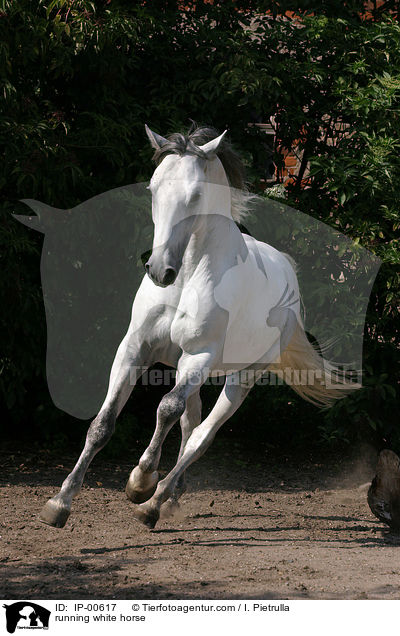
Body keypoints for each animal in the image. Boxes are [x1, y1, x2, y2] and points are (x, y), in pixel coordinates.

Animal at [39, 126, 352, 528]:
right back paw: (170, 497)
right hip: (188, 368)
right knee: (191, 425)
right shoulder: (135, 348)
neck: (188, 276)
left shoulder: (200, 356)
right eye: (153, 188)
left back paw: (153, 504)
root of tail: (287, 273)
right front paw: (59, 503)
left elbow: (166, 410)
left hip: (240, 377)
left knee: (201, 435)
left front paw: (140, 482)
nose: (160, 271)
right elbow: (103, 423)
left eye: (196, 195)